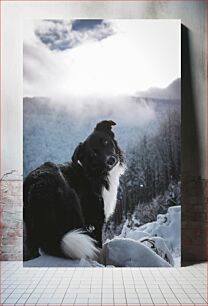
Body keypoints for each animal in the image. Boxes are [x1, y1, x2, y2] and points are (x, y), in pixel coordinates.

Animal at [23, 119, 123, 260]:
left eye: (106, 142)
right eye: (94, 153)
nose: (111, 160)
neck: (93, 173)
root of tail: (38, 184)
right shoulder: (96, 219)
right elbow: (98, 247)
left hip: (31, 228)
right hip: (74, 210)